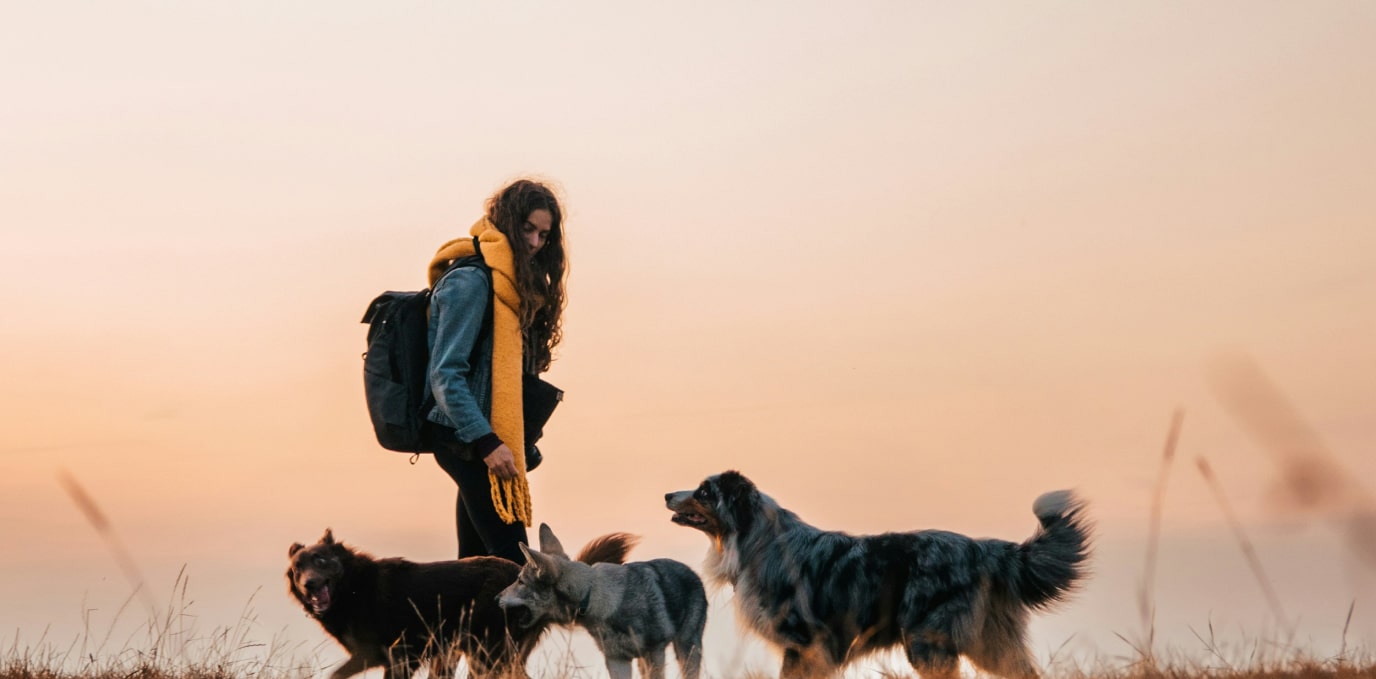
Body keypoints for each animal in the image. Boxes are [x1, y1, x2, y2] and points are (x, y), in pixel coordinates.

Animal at [293, 528, 635, 677]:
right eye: (298, 567)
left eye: (321, 560)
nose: (308, 585)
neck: (354, 586)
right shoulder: (381, 657)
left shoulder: (395, 656)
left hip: (488, 653)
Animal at [498, 523, 710, 677]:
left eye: (520, 581)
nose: (496, 597)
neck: (593, 597)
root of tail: (691, 572)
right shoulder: (617, 660)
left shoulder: (654, 653)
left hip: (687, 650)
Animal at [660, 471, 1089, 677]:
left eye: (703, 491)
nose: (666, 494)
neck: (755, 539)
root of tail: (985, 548)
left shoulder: (806, 642)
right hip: (989, 643)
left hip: (927, 642)